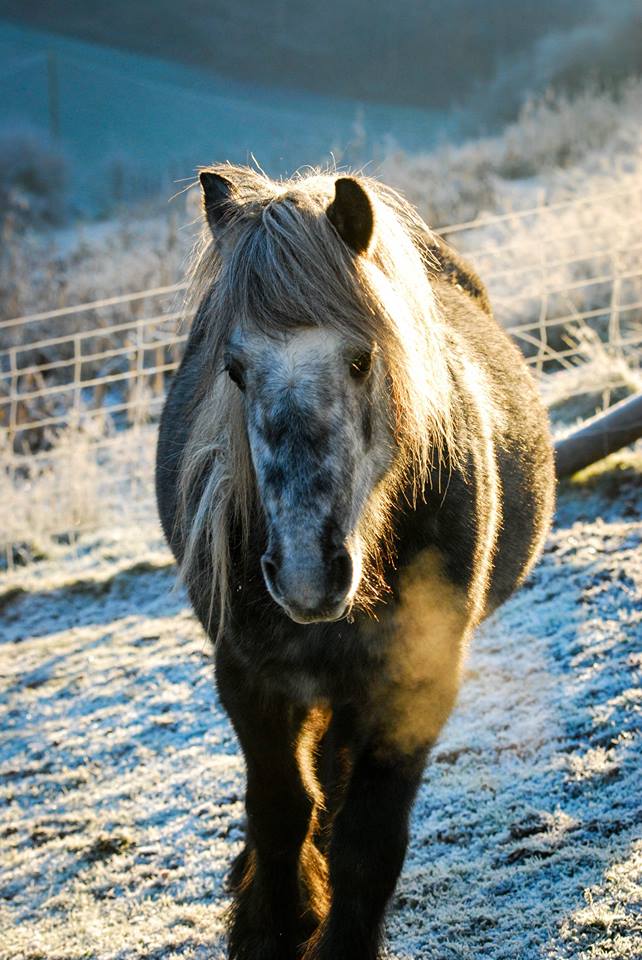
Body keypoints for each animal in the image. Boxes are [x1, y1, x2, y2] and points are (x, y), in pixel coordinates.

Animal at [154, 167, 552, 960]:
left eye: (364, 358)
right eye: (234, 370)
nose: (307, 573)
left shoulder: (419, 677)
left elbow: (367, 839)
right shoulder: (248, 674)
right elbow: (281, 809)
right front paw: (270, 927)